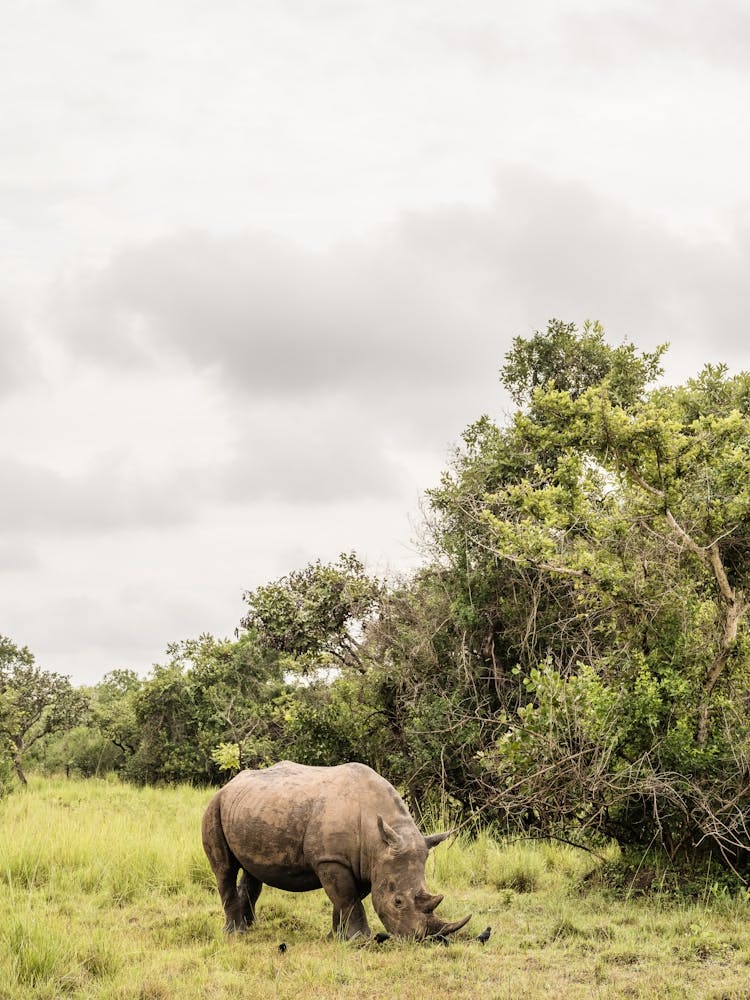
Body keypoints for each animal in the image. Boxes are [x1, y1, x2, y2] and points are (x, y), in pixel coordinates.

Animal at [201, 760, 471, 940]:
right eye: (397, 902)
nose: (422, 939)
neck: (378, 840)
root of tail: (229, 784)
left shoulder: (366, 863)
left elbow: (347, 899)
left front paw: (337, 937)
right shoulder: (331, 860)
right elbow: (347, 897)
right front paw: (360, 939)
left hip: (251, 808)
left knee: (252, 872)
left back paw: (251, 928)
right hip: (214, 806)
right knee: (224, 869)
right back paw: (235, 933)